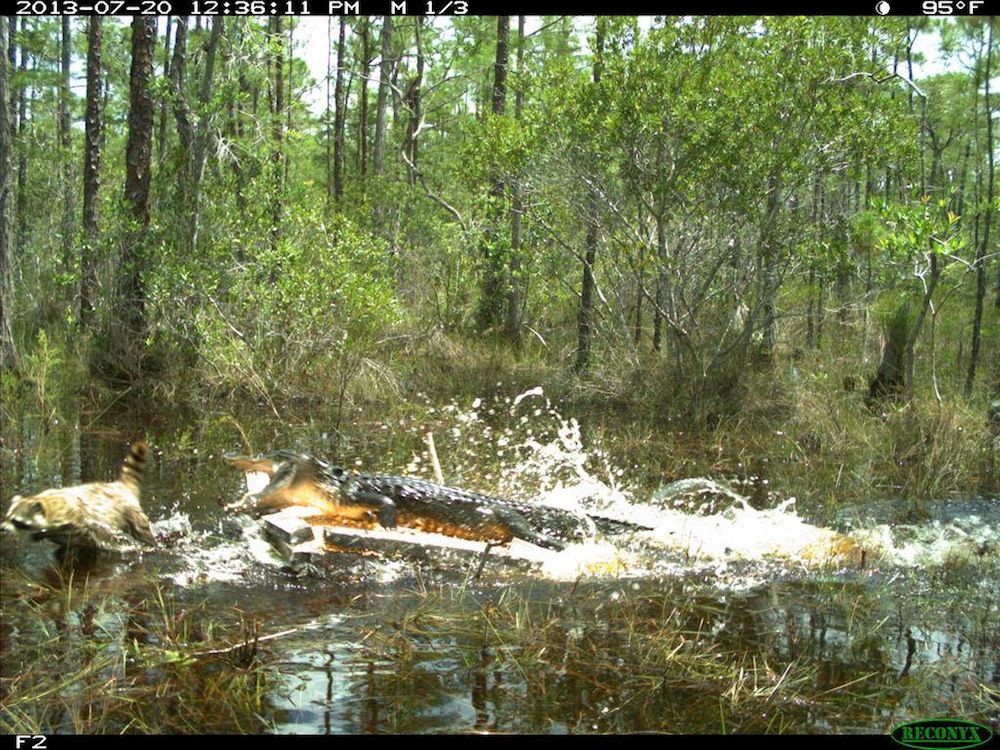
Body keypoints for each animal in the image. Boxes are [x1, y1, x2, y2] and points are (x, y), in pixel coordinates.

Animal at [2, 440, 156, 552]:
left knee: (143, 534)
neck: (46, 503)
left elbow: (82, 532)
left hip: (132, 516)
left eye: (16, 521)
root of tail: (119, 485)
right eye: (7, 516)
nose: (2, 529)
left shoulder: (74, 520)